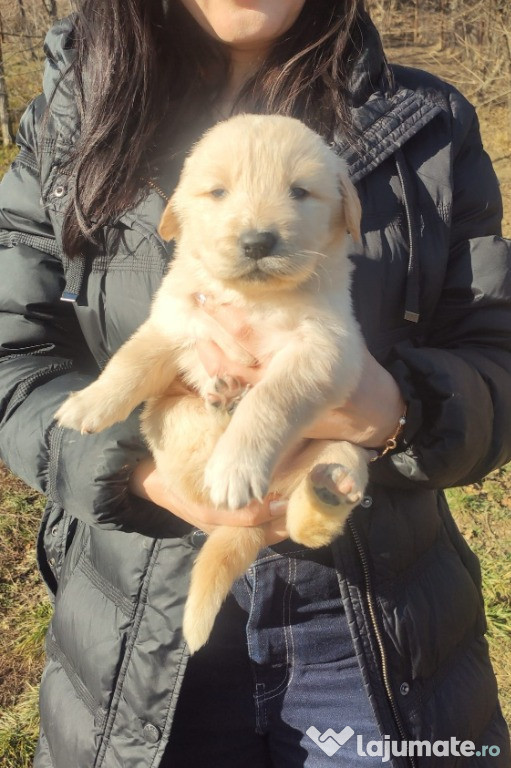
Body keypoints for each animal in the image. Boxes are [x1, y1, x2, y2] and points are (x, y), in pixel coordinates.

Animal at [56, 114, 370, 652]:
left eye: (300, 192)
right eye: (218, 192)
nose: (258, 242)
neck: (252, 297)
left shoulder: (325, 349)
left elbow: (271, 399)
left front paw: (236, 463)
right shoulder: (175, 321)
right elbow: (130, 361)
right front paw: (88, 403)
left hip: (344, 452)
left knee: (307, 528)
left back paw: (323, 491)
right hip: (167, 413)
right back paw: (223, 401)